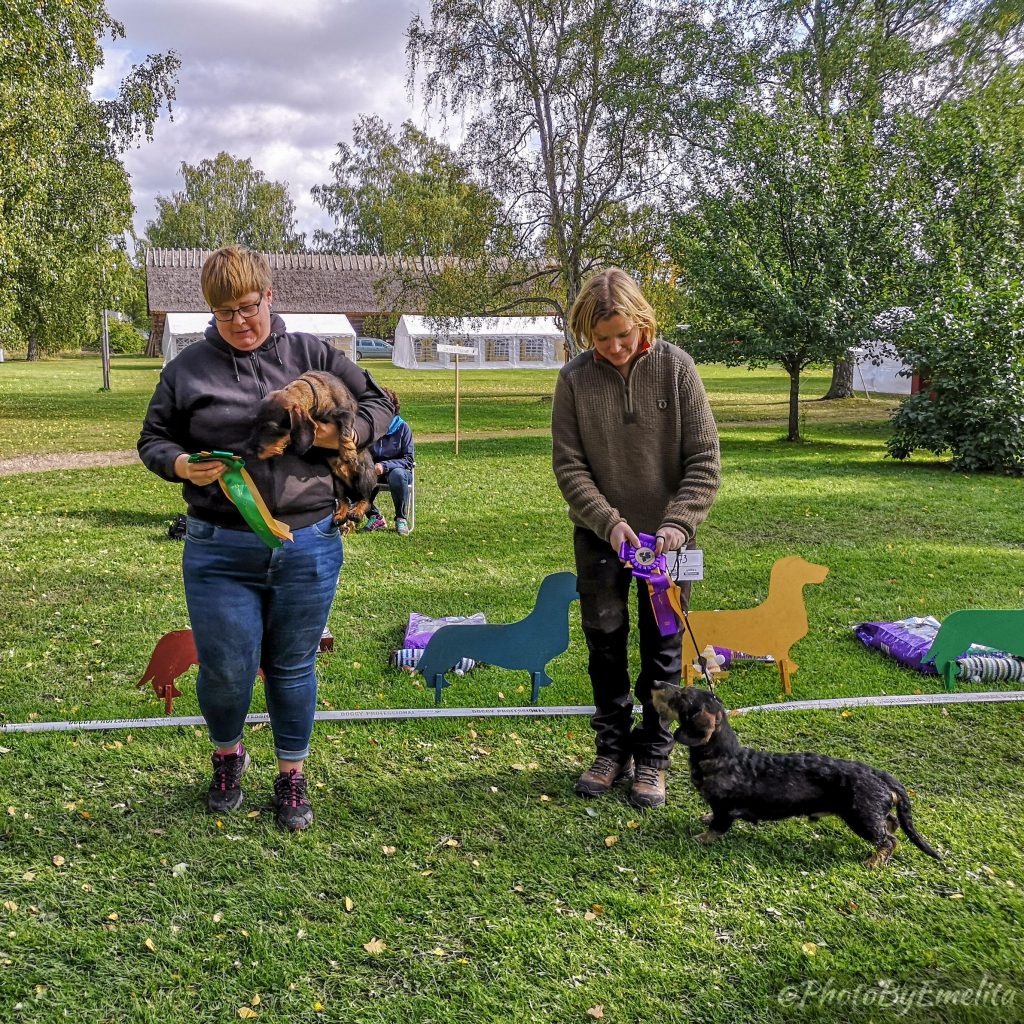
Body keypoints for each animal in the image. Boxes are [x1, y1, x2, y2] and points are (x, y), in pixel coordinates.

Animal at [244, 370, 380, 528]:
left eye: (270, 428)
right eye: (254, 422)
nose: (248, 451)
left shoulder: (346, 413)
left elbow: (345, 431)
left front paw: (348, 451)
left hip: (364, 474)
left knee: (366, 499)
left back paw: (357, 511)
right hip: (338, 484)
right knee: (343, 499)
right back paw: (341, 514)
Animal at [651, 684, 937, 868]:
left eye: (682, 696)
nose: (655, 682)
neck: (723, 754)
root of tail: (880, 774)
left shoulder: (724, 808)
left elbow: (717, 826)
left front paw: (702, 838)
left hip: (861, 817)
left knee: (889, 840)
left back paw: (874, 861)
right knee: (891, 823)